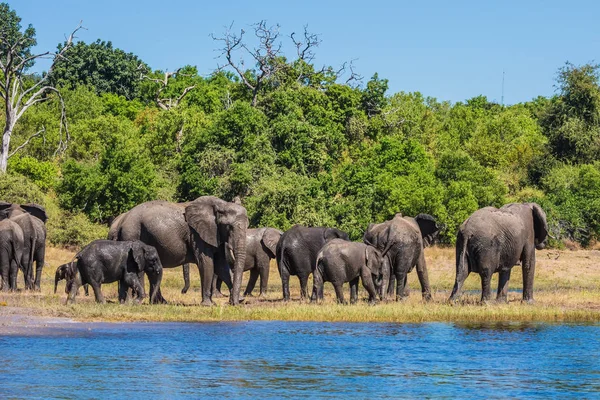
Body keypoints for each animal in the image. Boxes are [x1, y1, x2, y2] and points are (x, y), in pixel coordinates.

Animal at [109, 195, 247, 304]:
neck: (221, 204)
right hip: (132, 233)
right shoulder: (196, 235)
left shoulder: (215, 234)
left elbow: (221, 265)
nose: (235, 302)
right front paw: (209, 304)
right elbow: (206, 263)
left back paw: (159, 302)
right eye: (229, 227)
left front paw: (237, 300)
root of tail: (121, 222)